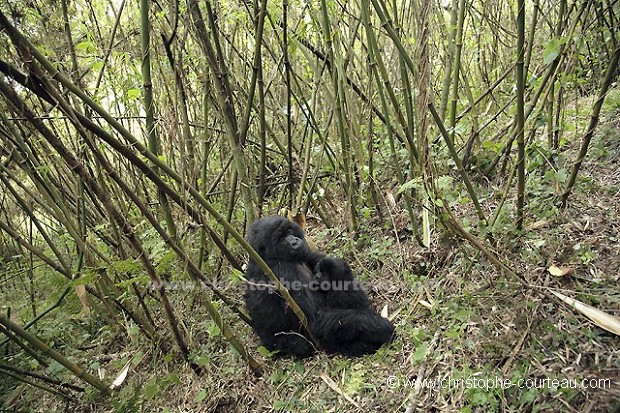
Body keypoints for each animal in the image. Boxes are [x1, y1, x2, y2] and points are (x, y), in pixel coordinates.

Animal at [242, 216, 392, 358]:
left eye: (289, 231)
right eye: (281, 238)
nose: (295, 241)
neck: (266, 257)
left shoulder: (306, 252)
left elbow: (335, 271)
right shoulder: (281, 272)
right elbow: (315, 319)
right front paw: (381, 327)